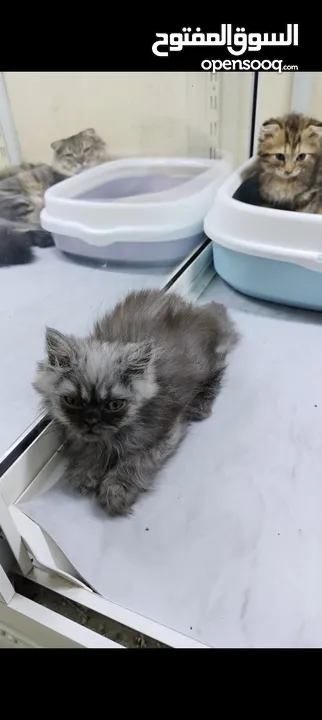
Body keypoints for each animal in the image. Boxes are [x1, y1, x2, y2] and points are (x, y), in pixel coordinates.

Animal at [33, 286, 239, 516]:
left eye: (114, 404)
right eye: (73, 401)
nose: (91, 420)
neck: (114, 436)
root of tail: (195, 309)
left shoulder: (166, 432)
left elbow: (135, 461)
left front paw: (116, 489)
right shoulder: (80, 436)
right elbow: (88, 448)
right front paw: (85, 472)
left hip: (202, 362)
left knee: (220, 366)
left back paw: (200, 404)